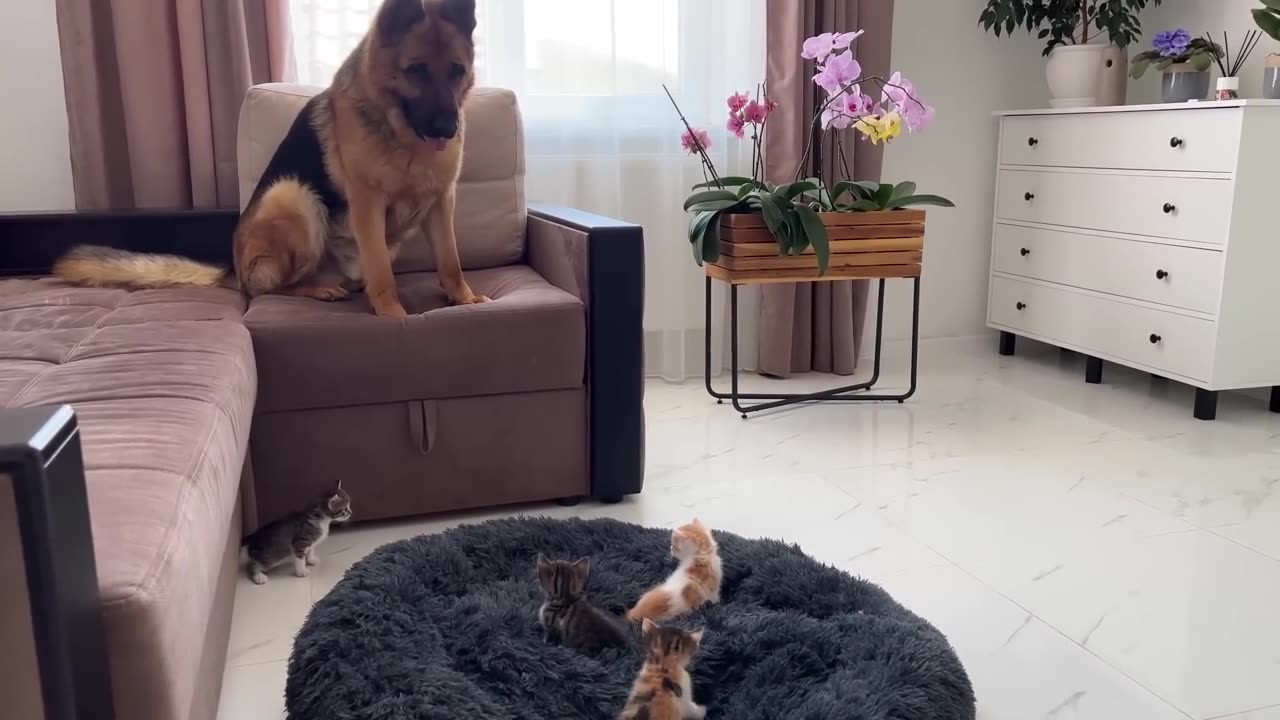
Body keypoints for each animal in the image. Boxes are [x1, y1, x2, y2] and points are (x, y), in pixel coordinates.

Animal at [52, 0, 486, 315]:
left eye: (456, 70)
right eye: (416, 71)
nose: (450, 128)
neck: (399, 132)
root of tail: (234, 270)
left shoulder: (441, 202)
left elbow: (450, 258)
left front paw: (462, 298)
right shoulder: (368, 204)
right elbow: (382, 272)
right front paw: (393, 313)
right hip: (292, 197)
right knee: (273, 289)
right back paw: (317, 289)